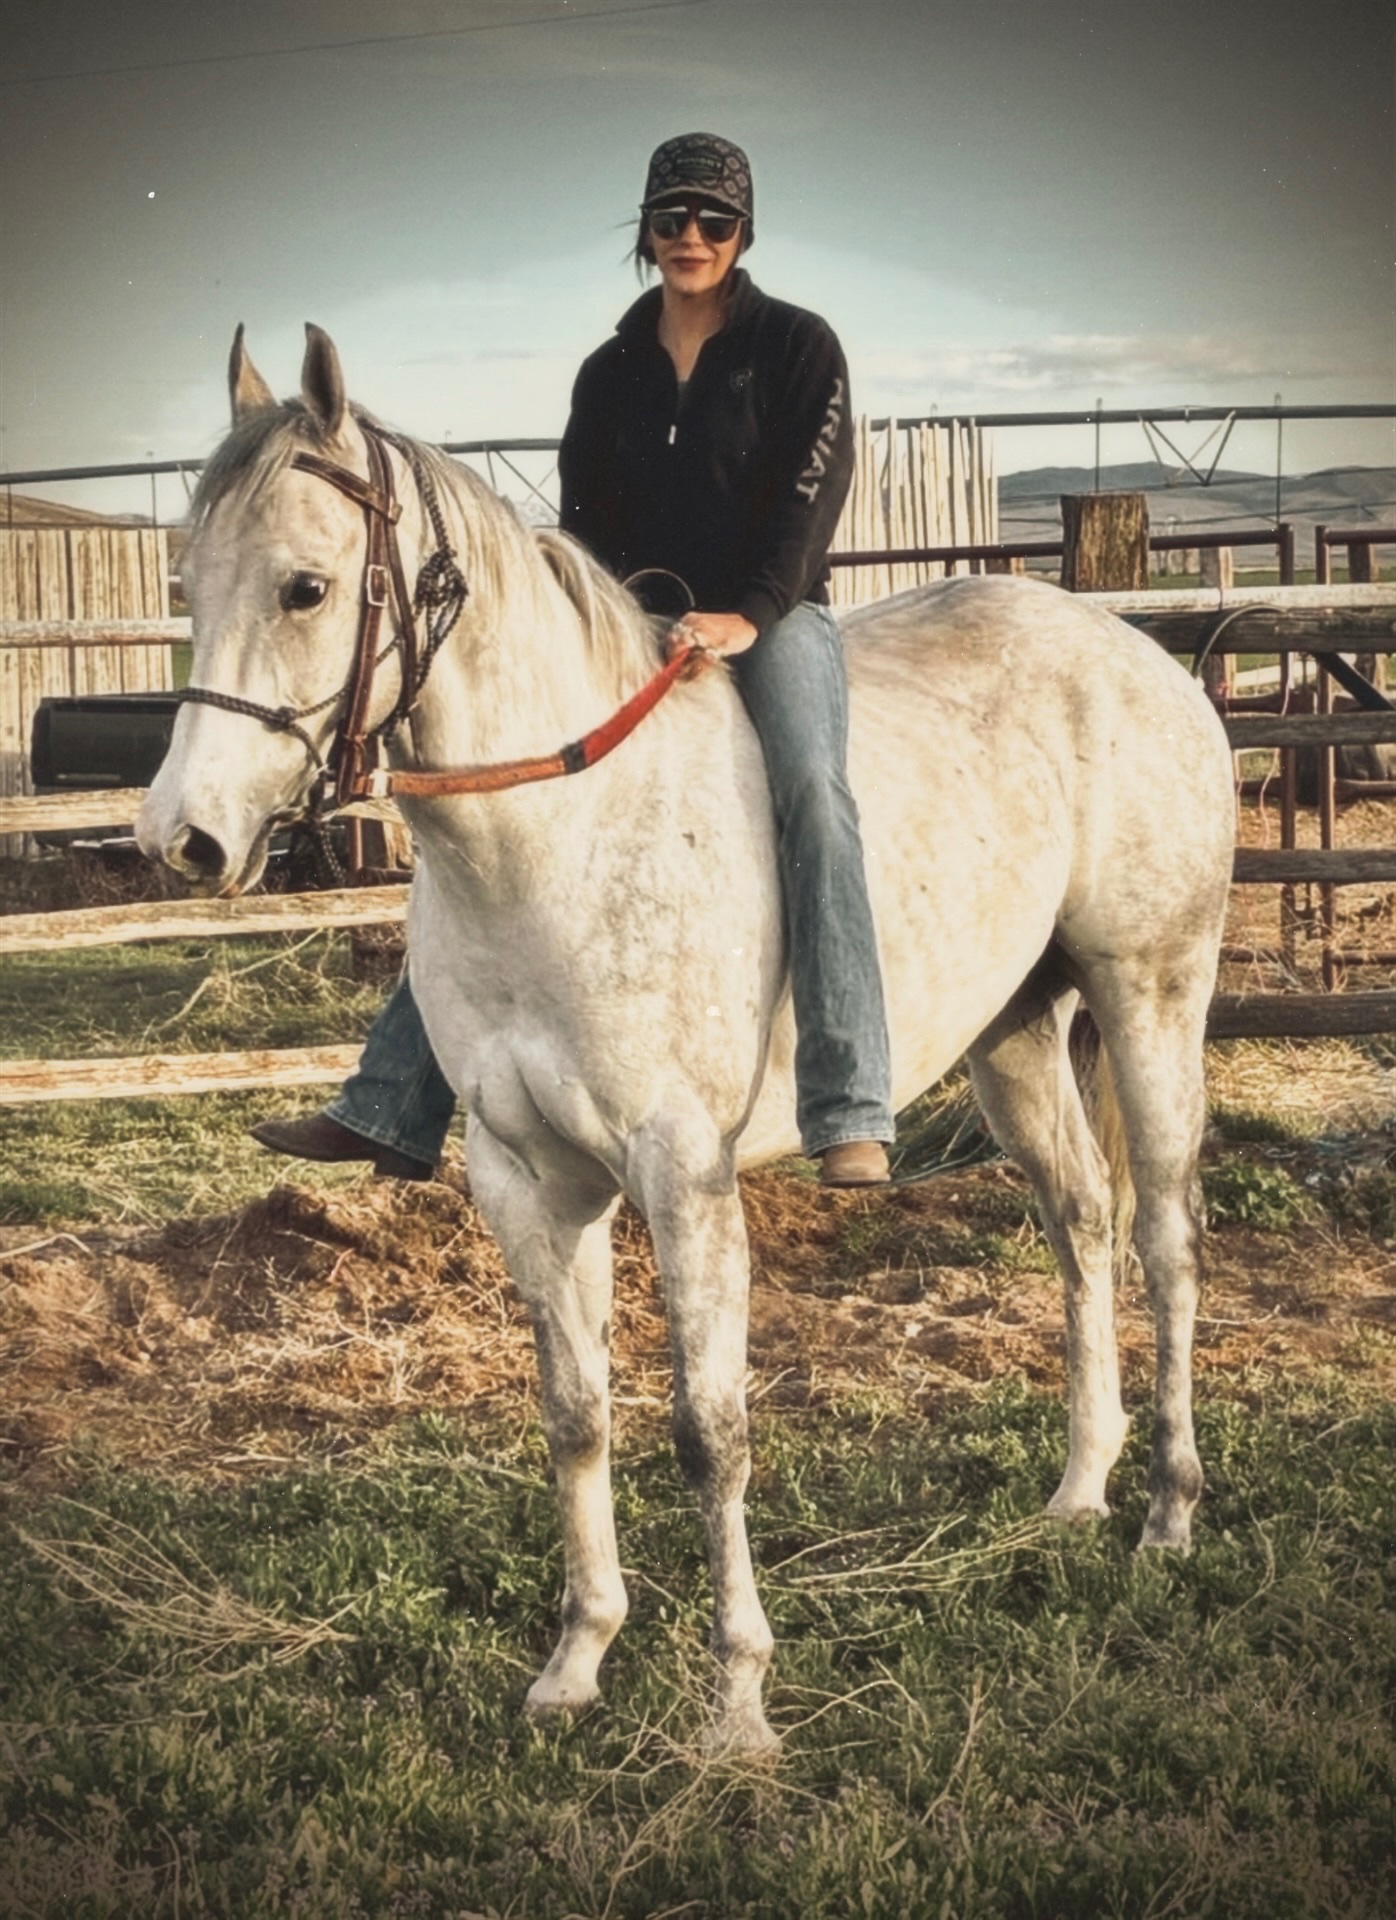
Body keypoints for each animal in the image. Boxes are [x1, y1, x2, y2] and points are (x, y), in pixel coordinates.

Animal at [138, 325, 1236, 1755]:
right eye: (186, 585)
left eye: (306, 588)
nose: (182, 840)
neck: (559, 842)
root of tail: (1144, 660)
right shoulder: (527, 1183)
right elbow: (576, 1415)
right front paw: (576, 1661)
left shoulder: (683, 1174)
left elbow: (710, 1429)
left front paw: (738, 1701)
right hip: (1016, 1040)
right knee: (1081, 1223)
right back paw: (1076, 1491)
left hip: (1152, 993)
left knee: (1163, 1236)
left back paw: (1166, 1510)